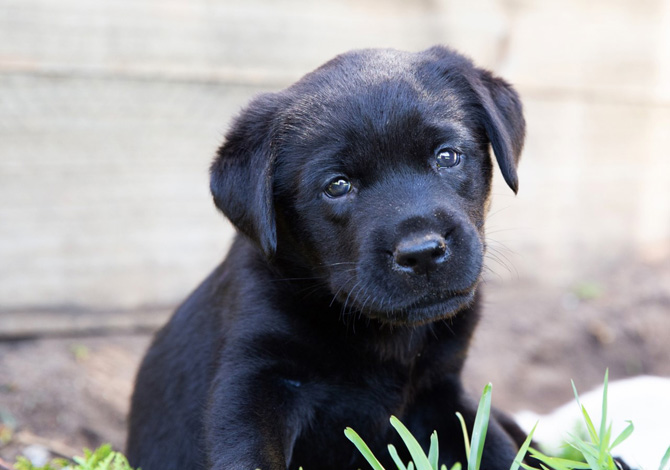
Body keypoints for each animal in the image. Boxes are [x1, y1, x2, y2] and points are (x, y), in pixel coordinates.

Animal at [127, 45, 532, 470]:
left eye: (447, 156)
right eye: (337, 186)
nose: (421, 253)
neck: (384, 335)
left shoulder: (440, 392)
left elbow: (495, 447)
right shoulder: (254, 378)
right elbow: (247, 453)